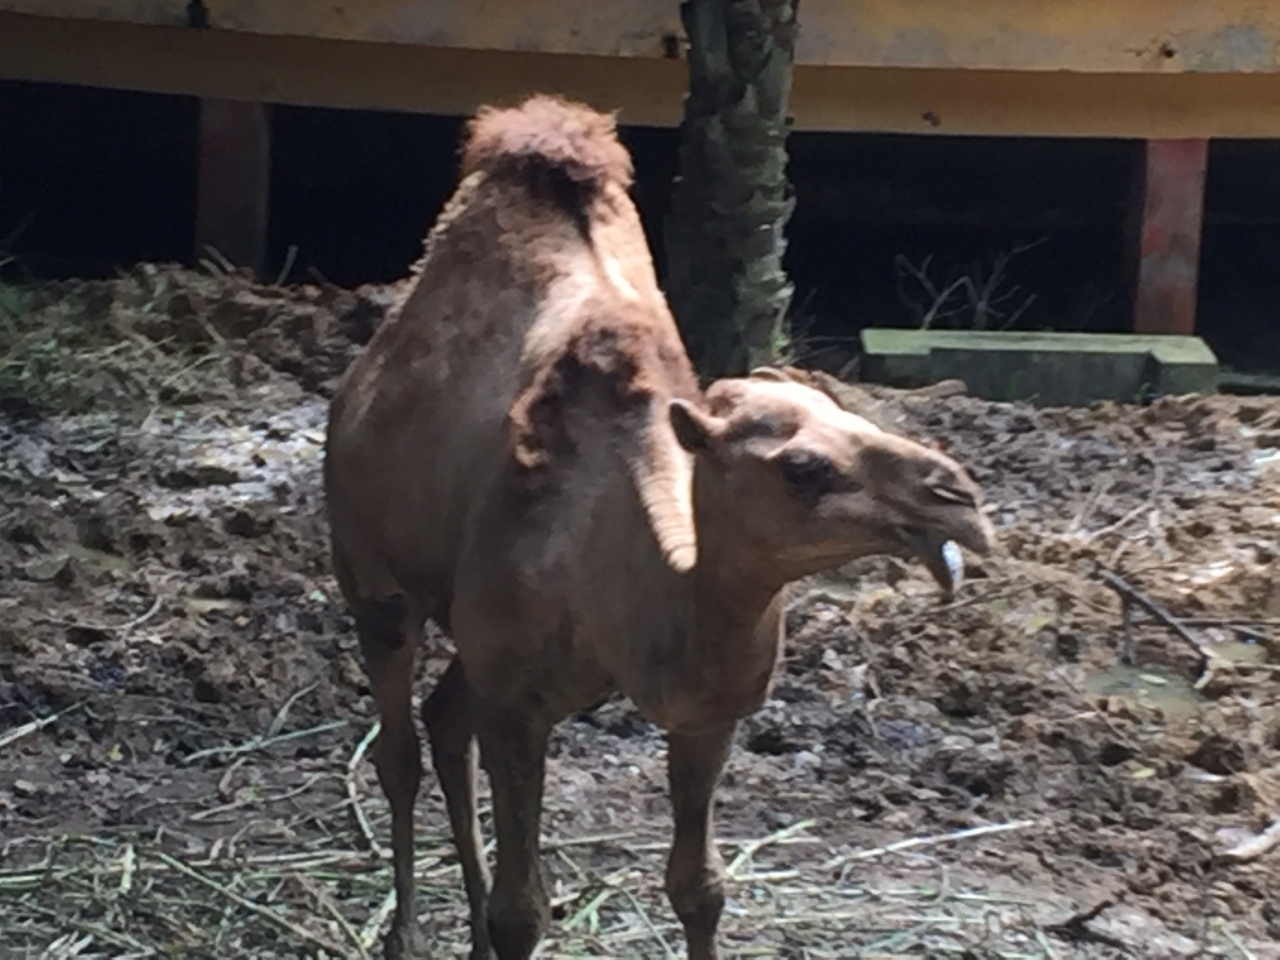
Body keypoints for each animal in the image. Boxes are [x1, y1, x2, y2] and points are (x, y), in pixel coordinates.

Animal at [324, 94, 995, 960]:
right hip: (369, 569)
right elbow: (522, 911)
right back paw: (403, 932)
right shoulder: (519, 702)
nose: (958, 498)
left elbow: (698, 889)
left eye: (855, 416)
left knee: (444, 723)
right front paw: (490, 920)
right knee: (398, 745)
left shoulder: (706, 714)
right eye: (803, 466)